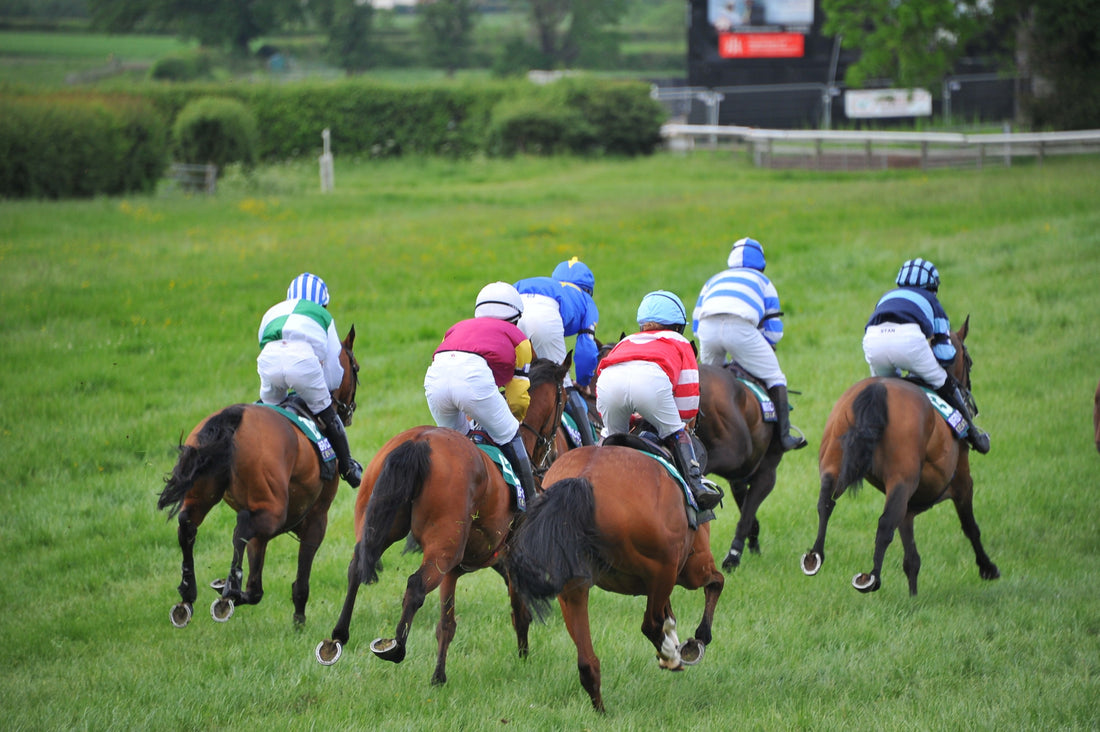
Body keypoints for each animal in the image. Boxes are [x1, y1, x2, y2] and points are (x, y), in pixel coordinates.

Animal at [159, 328, 358, 625]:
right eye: (356, 368)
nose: (349, 411)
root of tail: (233, 417)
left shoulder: (263, 533)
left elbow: (255, 588)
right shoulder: (317, 518)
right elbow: (300, 581)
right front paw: (299, 620)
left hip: (204, 494)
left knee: (188, 525)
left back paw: (189, 593)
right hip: (272, 510)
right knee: (241, 526)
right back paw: (228, 589)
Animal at [310, 354, 567, 686]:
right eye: (563, 403)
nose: (553, 455)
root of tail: (420, 441)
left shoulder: (457, 569)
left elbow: (447, 623)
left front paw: (439, 676)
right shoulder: (504, 554)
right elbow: (518, 610)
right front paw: (523, 656)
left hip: (379, 523)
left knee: (357, 566)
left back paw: (338, 637)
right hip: (442, 548)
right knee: (415, 586)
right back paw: (394, 647)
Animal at [503, 442, 721, 708]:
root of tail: (585, 478)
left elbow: (670, 613)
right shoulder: (692, 567)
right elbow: (715, 583)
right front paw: (696, 639)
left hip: (572, 586)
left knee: (587, 662)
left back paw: (601, 707)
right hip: (664, 568)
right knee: (649, 624)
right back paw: (671, 656)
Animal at [796, 317, 1003, 598]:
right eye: (969, 361)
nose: (969, 395)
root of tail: (877, 389)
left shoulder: (908, 507)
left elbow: (911, 558)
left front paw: (913, 597)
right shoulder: (961, 480)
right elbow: (970, 527)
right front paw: (987, 568)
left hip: (833, 462)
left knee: (825, 503)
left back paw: (815, 556)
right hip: (902, 479)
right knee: (884, 525)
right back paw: (870, 578)